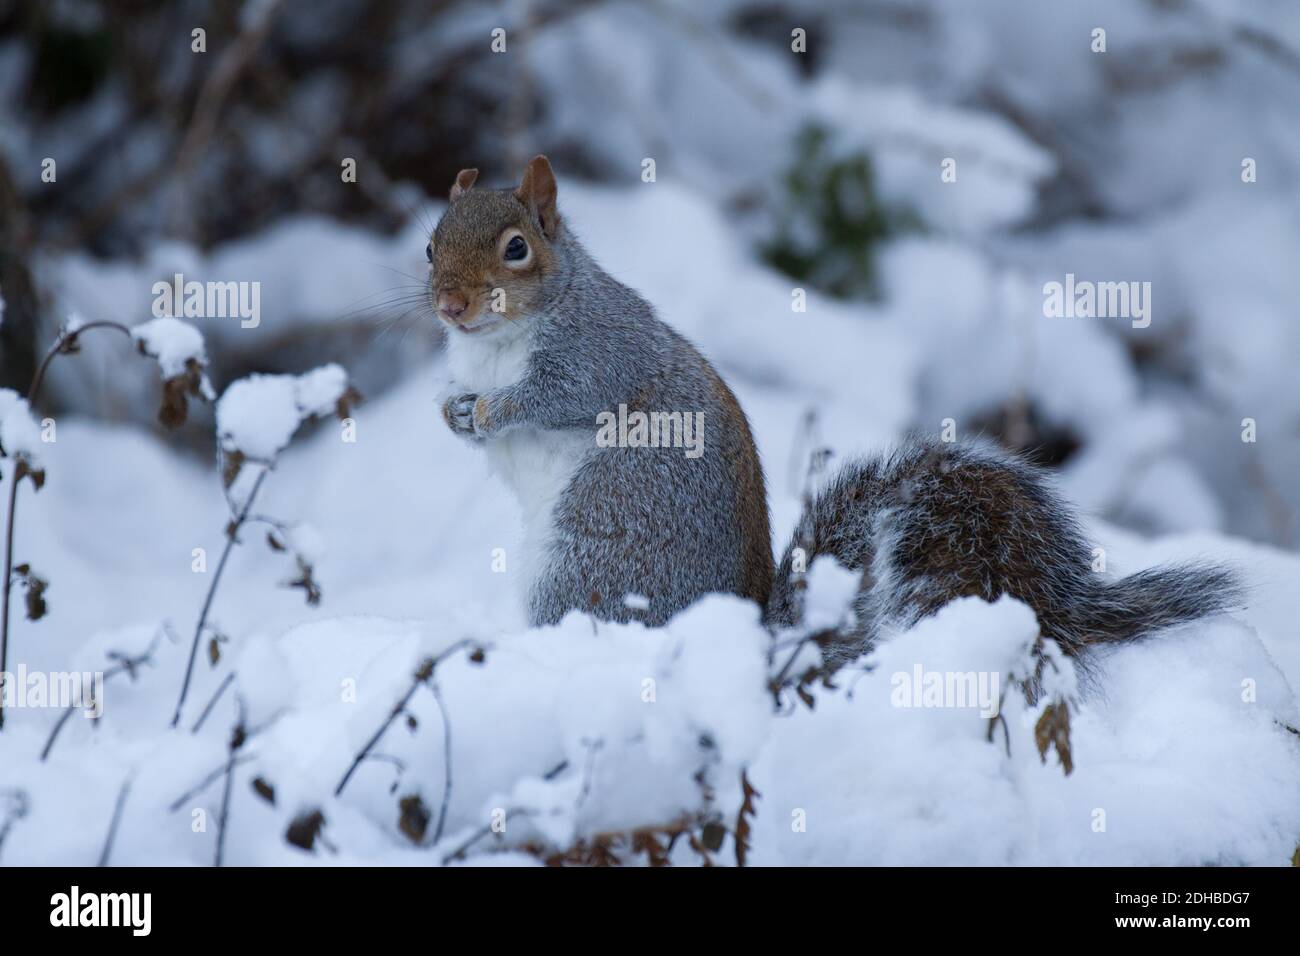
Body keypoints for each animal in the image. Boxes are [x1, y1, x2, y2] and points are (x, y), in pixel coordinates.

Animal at [431, 157, 769, 629]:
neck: (495, 342)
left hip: (595, 545)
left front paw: (491, 411)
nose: (451, 306)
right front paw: (455, 413)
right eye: (430, 249)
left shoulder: (604, 349)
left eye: (516, 248)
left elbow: (563, 394)